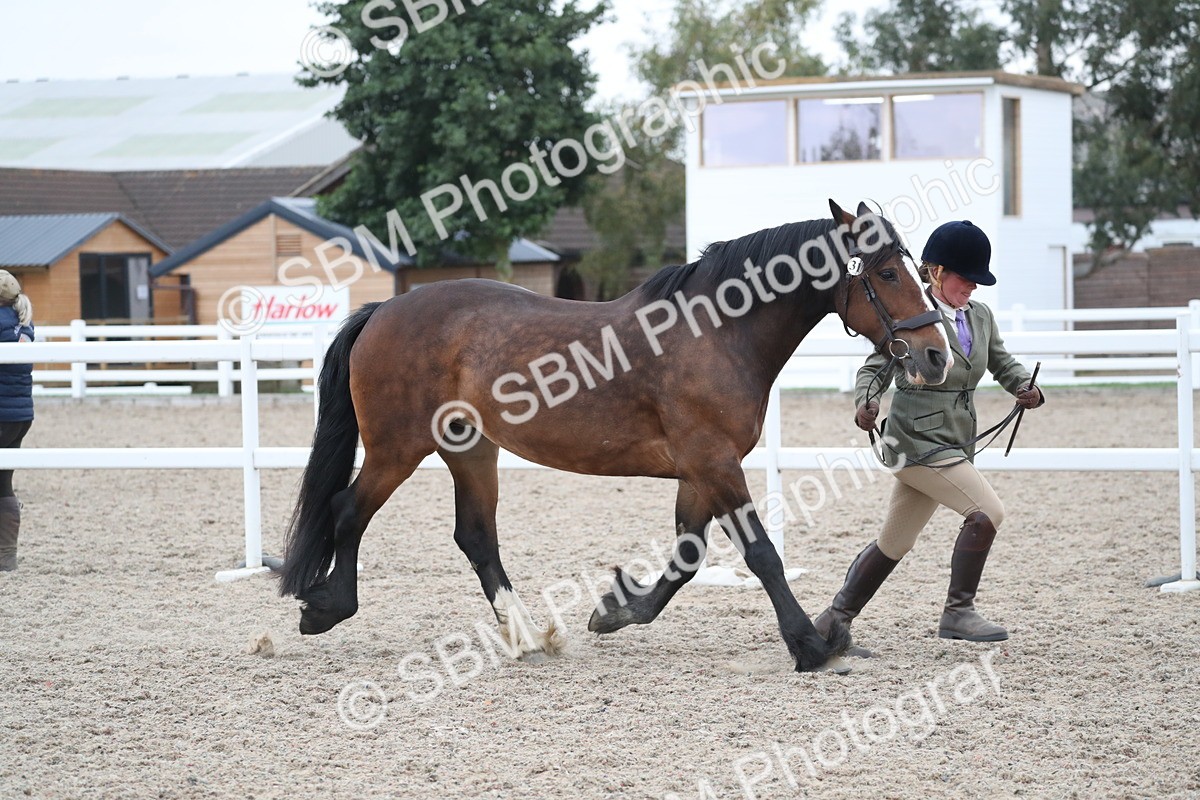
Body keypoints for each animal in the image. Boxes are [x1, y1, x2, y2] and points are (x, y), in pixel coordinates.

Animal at [278, 200, 952, 673]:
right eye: (887, 272)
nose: (935, 355)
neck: (718, 332)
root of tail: (383, 311)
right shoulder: (713, 462)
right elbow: (760, 553)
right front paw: (809, 644)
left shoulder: (700, 470)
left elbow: (687, 557)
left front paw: (617, 610)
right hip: (399, 448)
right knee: (347, 509)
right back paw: (327, 609)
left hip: (470, 449)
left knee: (474, 536)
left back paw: (527, 636)